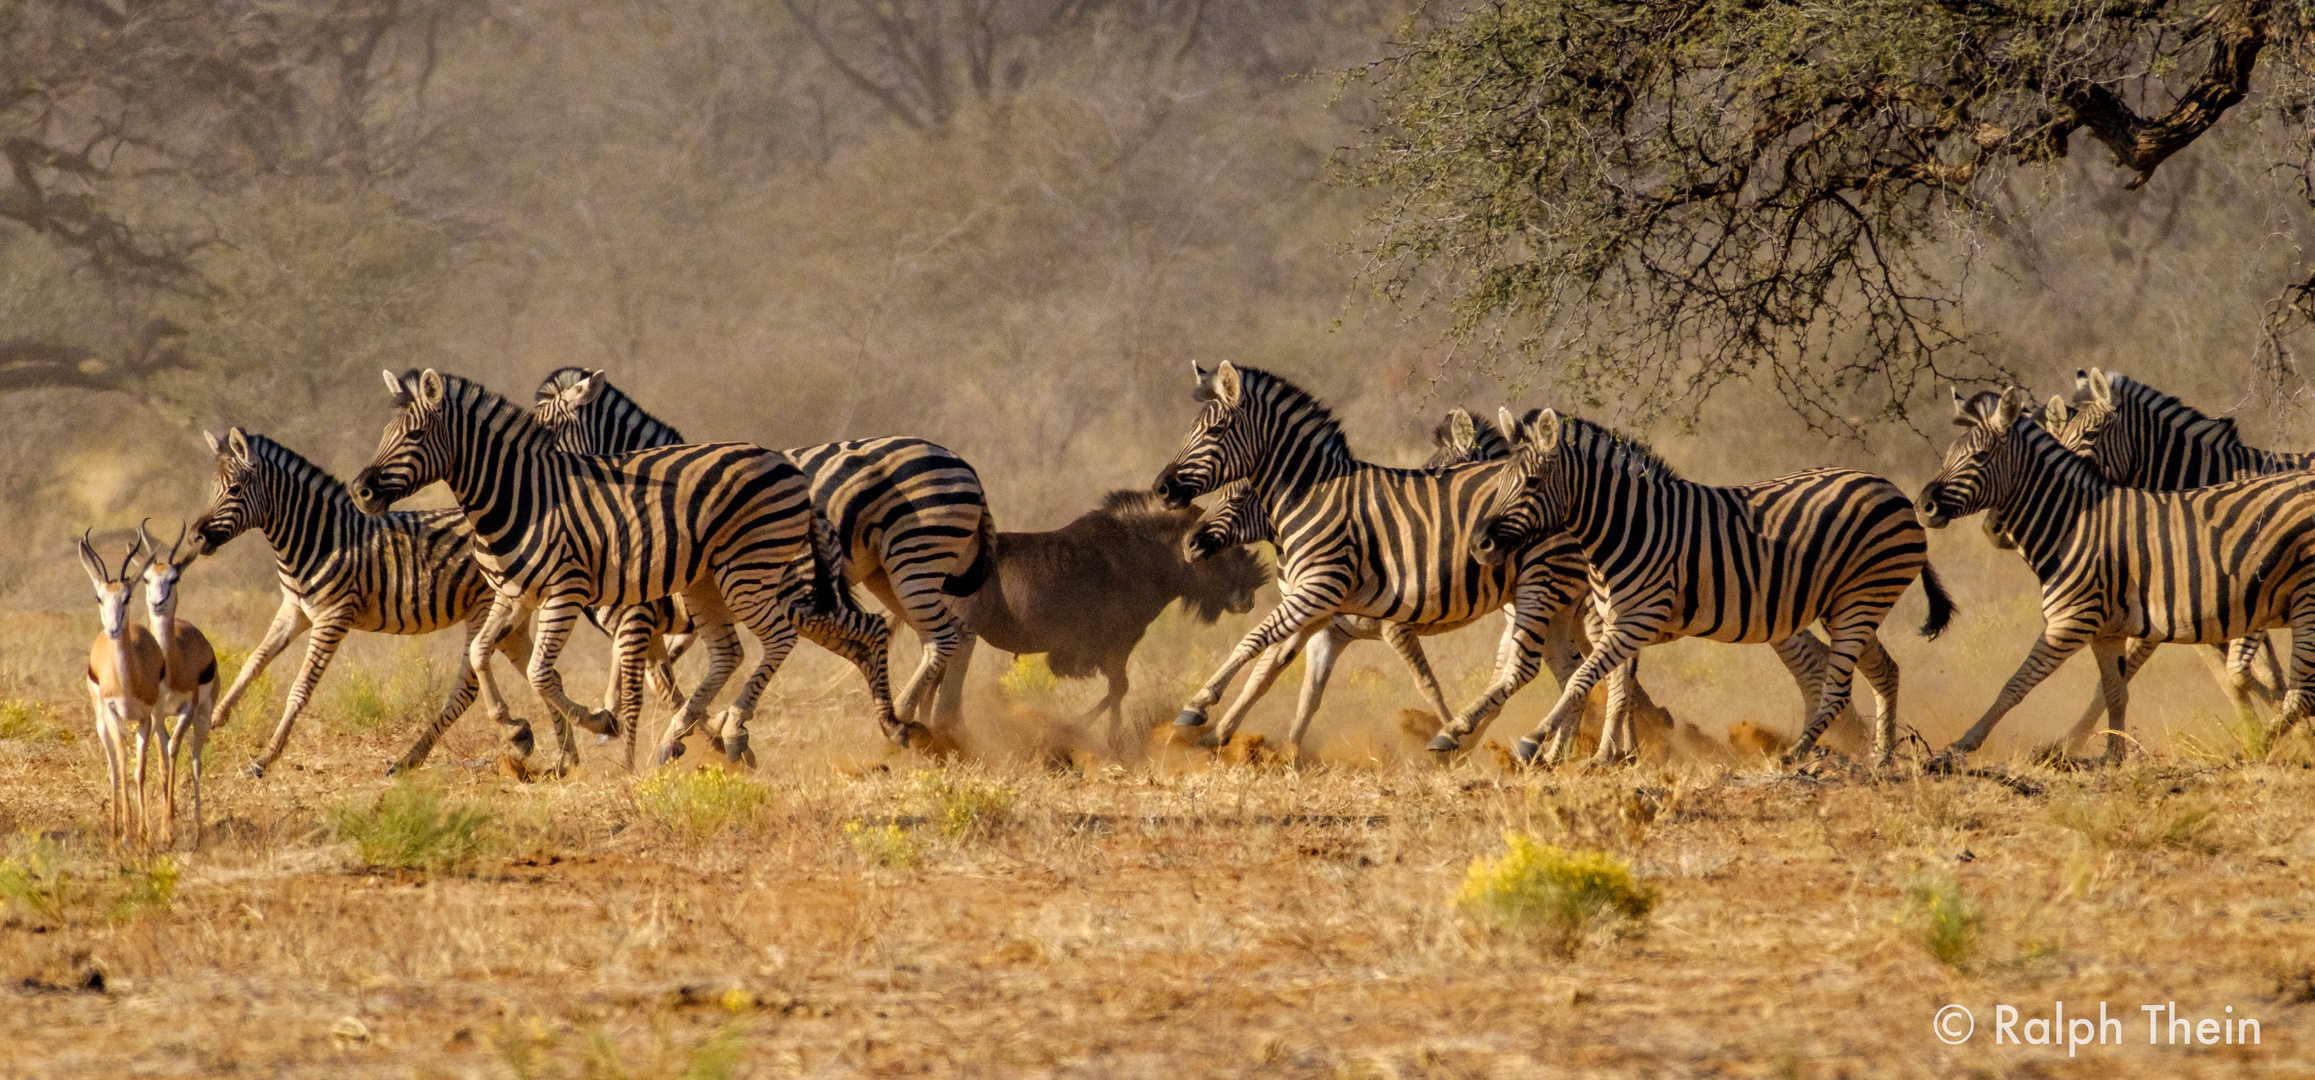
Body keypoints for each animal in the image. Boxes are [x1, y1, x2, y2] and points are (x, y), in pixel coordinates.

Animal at [189, 427, 541, 772]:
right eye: (213, 488)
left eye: (235, 489)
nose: (195, 536)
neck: (320, 539)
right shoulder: (294, 609)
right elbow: (254, 661)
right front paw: (217, 715)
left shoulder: (333, 617)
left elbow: (300, 688)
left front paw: (265, 758)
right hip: (508, 618)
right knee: (531, 666)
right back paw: (531, 736)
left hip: (483, 607)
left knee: (467, 688)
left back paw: (412, 758)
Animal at [347, 367, 898, 772]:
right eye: (385, 433)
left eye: (416, 434)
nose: (361, 491)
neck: (524, 498)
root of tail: (793, 472)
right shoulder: (513, 594)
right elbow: (482, 657)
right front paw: (516, 727)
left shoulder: (571, 593)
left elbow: (545, 673)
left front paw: (602, 728)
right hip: (706, 582)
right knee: (733, 651)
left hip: (754, 575)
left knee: (797, 637)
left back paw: (744, 730)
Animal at [532, 367, 995, 740]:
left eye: (543, 434)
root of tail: (964, 464)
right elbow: (655, 664)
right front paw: (618, 718)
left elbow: (654, 669)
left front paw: (695, 727)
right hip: (892, 574)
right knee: (952, 634)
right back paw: (935, 718)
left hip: (912, 561)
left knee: (945, 636)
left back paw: (907, 711)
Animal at [1444, 407, 1953, 767]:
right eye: (1499, 481)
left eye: (1530, 482)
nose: (1479, 544)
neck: (1624, 525)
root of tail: (1890, 487)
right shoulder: (1614, 620)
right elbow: (1617, 689)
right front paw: (1608, 757)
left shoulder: (1636, 619)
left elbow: (1585, 678)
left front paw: (1536, 741)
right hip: (1847, 604)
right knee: (1884, 670)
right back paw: (1881, 758)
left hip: (1861, 598)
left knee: (1836, 684)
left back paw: (1799, 754)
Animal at [1916, 386, 2315, 763]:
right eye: (1948, 456)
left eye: (1981, 456)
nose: (1923, 507)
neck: (2073, 523)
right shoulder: (2106, 630)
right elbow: (2115, 692)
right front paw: (2112, 756)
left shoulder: (2072, 620)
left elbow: (2016, 685)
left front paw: (1962, 744)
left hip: (2305, 601)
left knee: (2302, 695)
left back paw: (2261, 747)